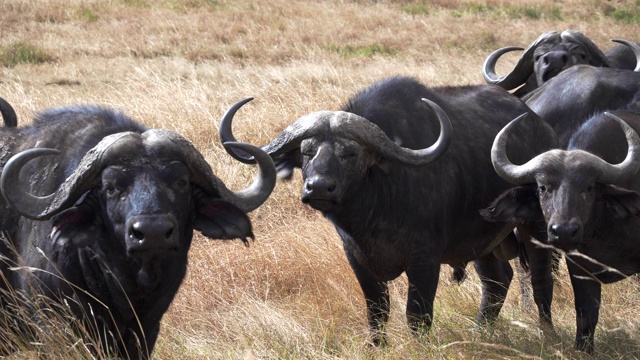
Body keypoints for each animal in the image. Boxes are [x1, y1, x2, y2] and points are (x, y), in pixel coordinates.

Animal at [219, 75, 556, 344]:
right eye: (307, 152)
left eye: (350, 153)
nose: (318, 187)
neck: (375, 213)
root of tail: (540, 125)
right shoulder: (357, 258)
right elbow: (377, 311)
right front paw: (376, 345)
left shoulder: (425, 259)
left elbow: (417, 315)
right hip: (482, 240)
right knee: (497, 280)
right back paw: (480, 332)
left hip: (535, 227)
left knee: (540, 279)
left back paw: (547, 332)